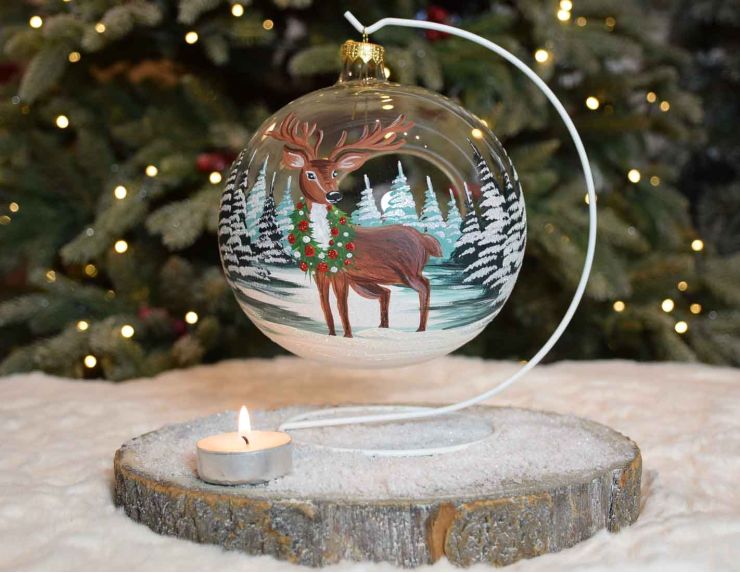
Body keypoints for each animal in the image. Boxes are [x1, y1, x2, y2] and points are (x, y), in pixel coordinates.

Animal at [266, 111, 440, 336]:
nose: (334, 195)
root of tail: (424, 239)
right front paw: (332, 336)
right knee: (386, 292)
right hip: (368, 280)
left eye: (334, 173)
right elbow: (325, 306)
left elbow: (342, 306)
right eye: (310, 174)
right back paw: (383, 328)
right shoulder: (321, 272)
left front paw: (347, 336)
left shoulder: (341, 273)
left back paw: (420, 329)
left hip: (408, 270)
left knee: (425, 285)